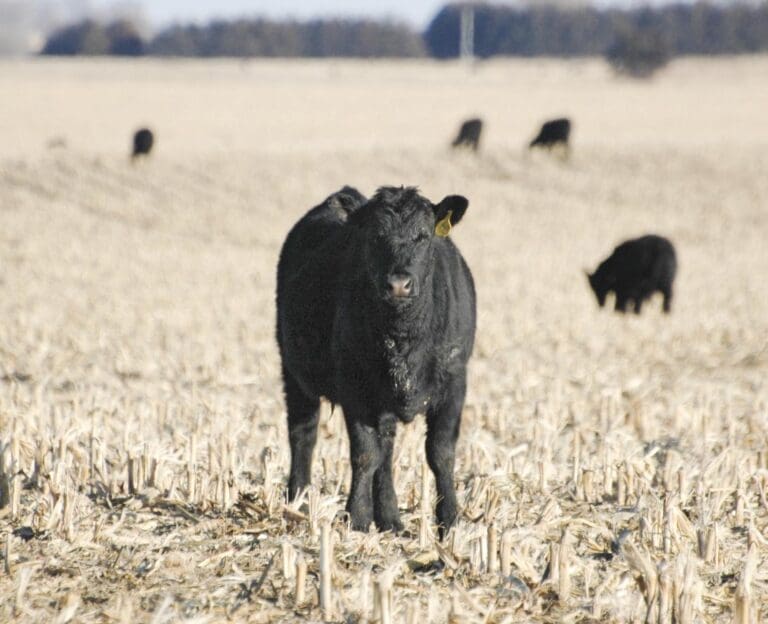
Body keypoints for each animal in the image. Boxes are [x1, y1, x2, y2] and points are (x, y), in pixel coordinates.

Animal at [280, 185, 476, 536]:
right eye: (375, 237)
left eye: (423, 235)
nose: (398, 284)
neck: (403, 342)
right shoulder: (354, 384)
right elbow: (364, 454)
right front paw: (357, 518)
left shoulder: (455, 381)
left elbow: (440, 453)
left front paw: (450, 522)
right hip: (293, 370)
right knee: (303, 434)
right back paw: (298, 502)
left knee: (386, 449)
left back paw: (390, 519)